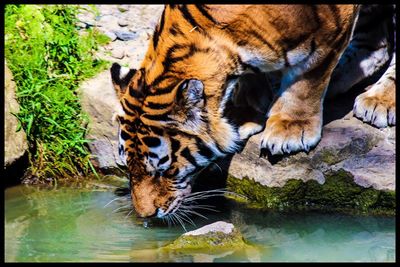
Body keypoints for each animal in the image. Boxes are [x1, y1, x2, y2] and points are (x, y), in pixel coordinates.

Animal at [110, 4, 396, 220]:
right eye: (127, 167)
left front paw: (289, 131)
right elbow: (249, 80)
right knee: (377, 44)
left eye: (165, 170)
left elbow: (305, 83)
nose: (145, 216)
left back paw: (379, 100)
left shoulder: (329, 34)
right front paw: (245, 116)